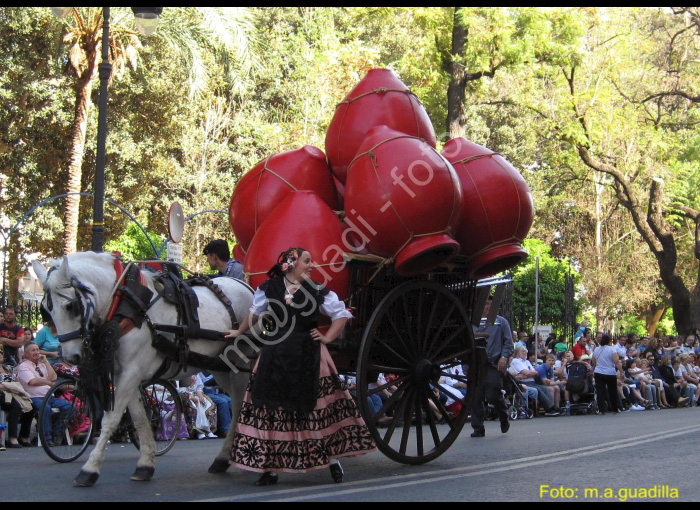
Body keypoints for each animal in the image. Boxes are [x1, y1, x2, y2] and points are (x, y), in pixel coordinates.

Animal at [32, 253, 258, 488]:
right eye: (47, 310)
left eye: (71, 306)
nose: (70, 357)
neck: (124, 305)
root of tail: (246, 287)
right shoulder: (126, 373)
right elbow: (139, 417)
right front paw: (145, 464)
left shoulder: (132, 371)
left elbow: (111, 418)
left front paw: (89, 469)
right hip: (221, 368)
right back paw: (224, 458)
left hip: (242, 366)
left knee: (239, 406)